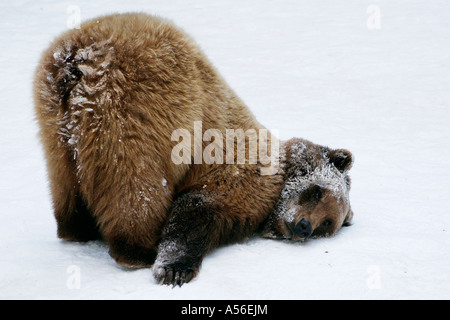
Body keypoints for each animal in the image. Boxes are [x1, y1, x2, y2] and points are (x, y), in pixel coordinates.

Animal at [33, 13, 354, 286]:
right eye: (316, 192)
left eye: (327, 223)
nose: (304, 227)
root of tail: (79, 60)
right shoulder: (237, 165)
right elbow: (199, 206)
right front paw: (174, 268)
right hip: (143, 109)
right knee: (137, 186)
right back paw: (138, 249)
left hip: (53, 120)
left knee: (64, 179)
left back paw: (75, 227)